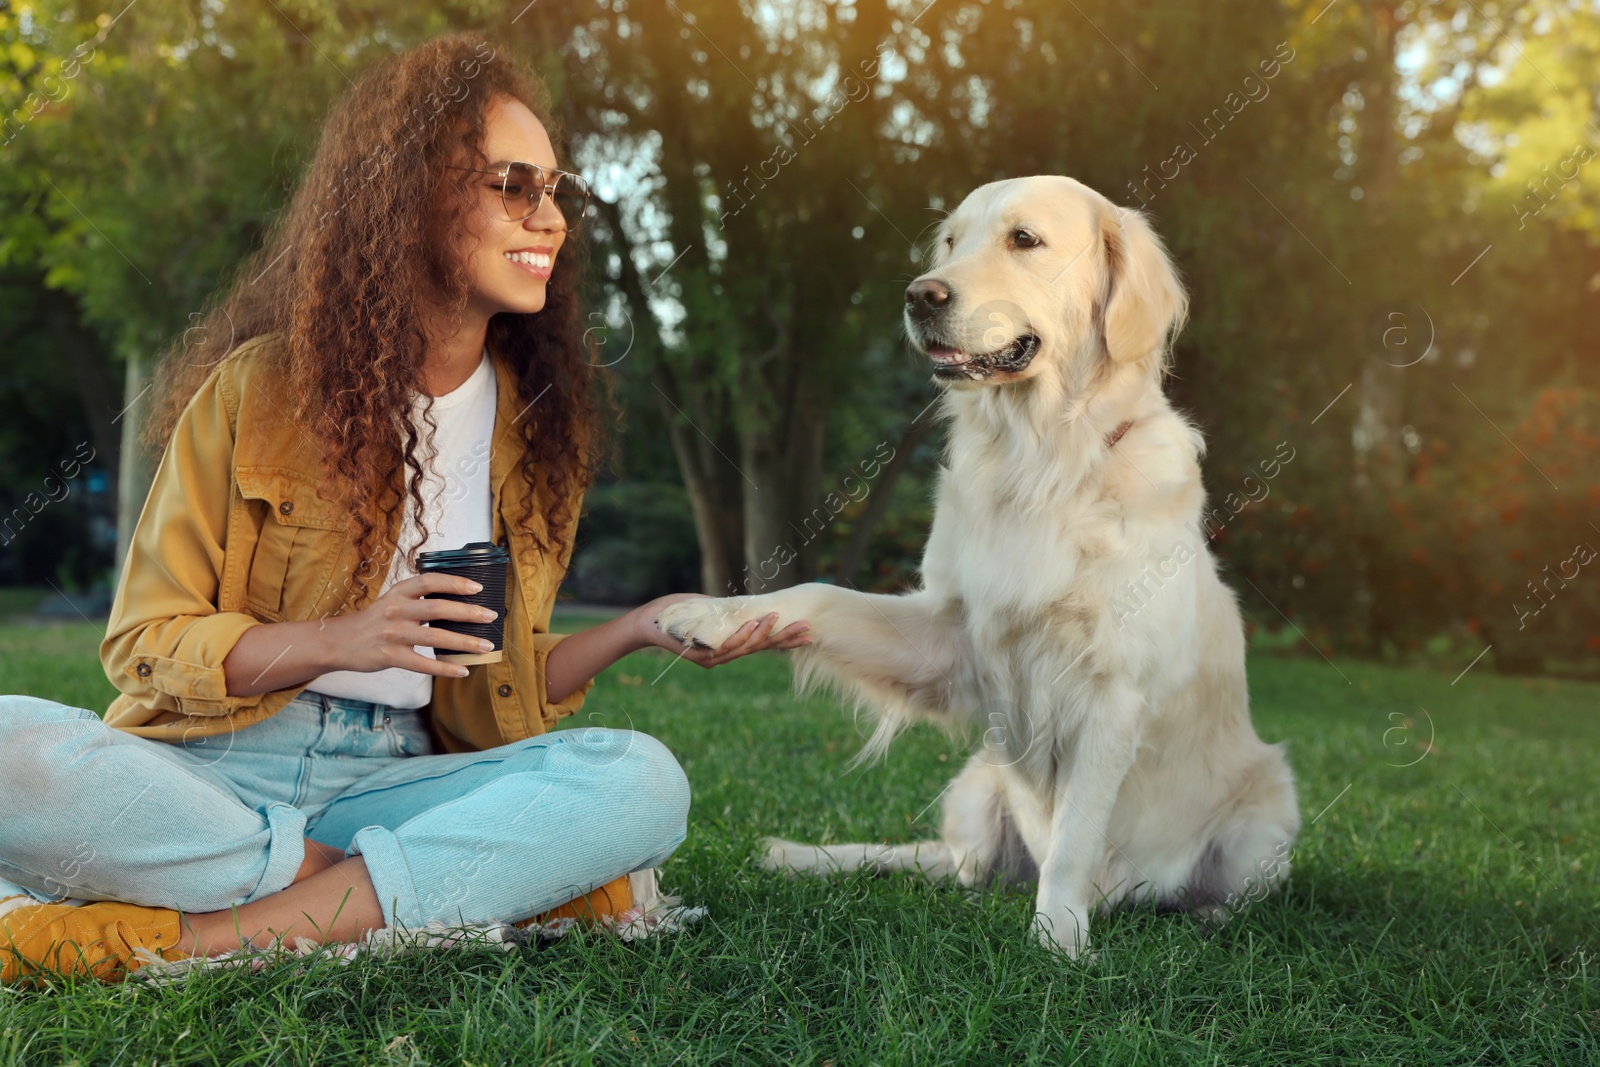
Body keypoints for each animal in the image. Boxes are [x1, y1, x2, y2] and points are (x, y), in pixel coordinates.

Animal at [662, 177, 1299, 959]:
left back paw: (1203, 917)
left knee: (1230, 889)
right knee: (947, 865)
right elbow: (816, 593)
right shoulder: (948, 635)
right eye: (949, 242)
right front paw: (715, 615)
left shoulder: (1112, 693)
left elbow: (1074, 839)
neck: (1039, 465)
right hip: (978, 789)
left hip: (1270, 807)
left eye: (1024, 239)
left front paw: (1059, 941)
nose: (919, 296)